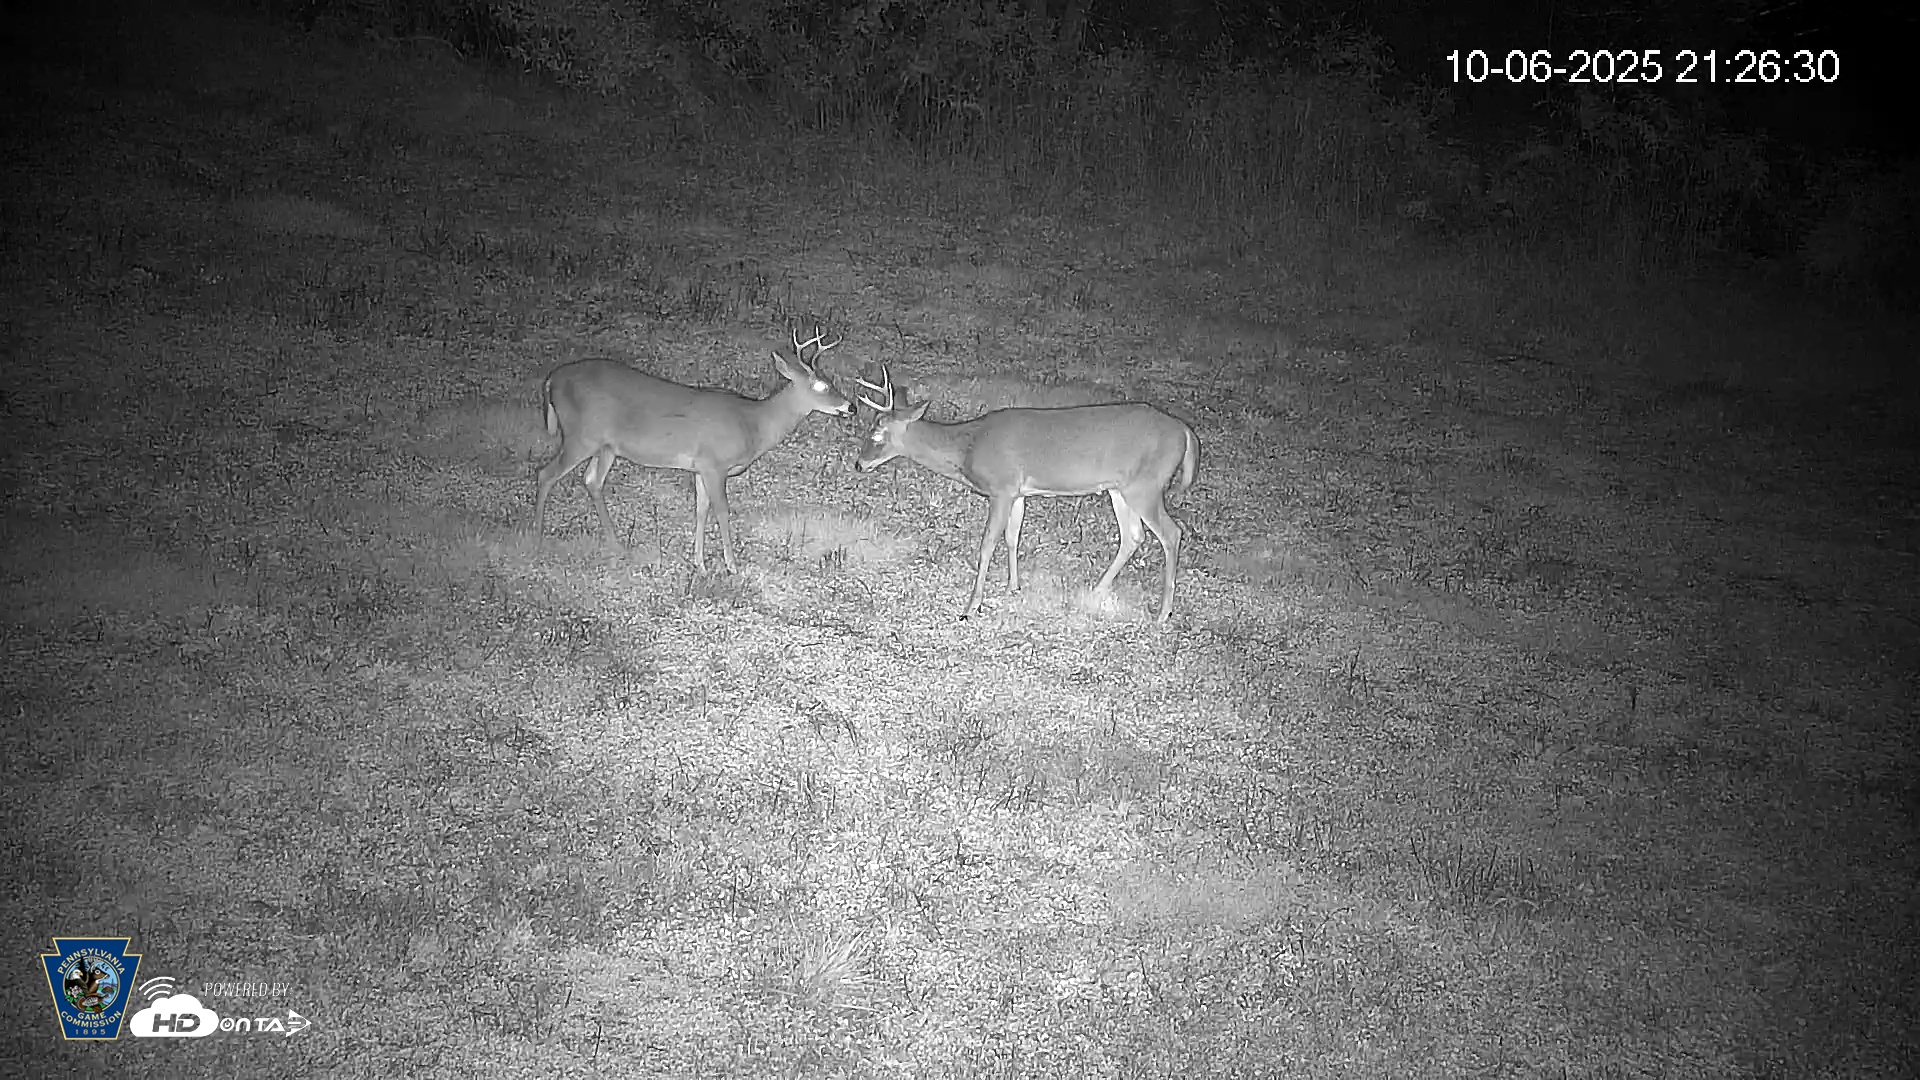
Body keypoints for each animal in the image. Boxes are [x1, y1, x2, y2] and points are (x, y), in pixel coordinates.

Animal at [534, 330, 852, 571]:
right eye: (822, 385)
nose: (850, 406)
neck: (753, 423)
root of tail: (551, 380)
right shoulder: (715, 464)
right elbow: (721, 511)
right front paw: (731, 565)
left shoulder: (700, 467)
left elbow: (701, 510)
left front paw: (699, 563)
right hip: (581, 435)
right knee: (545, 473)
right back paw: (535, 533)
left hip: (606, 445)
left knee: (591, 481)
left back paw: (616, 544)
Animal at [852, 365, 1199, 624]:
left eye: (877, 434)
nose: (858, 464)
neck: (968, 446)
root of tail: (1185, 432)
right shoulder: (1018, 493)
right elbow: (1012, 537)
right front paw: (1013, 586)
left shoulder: (1001, 487)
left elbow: (987, 544)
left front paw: (971, 607)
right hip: (1120, 489)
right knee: (1133, 536)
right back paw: (1097, 591)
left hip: (1146, 486)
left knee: (1172, 533)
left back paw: (1163, 613)